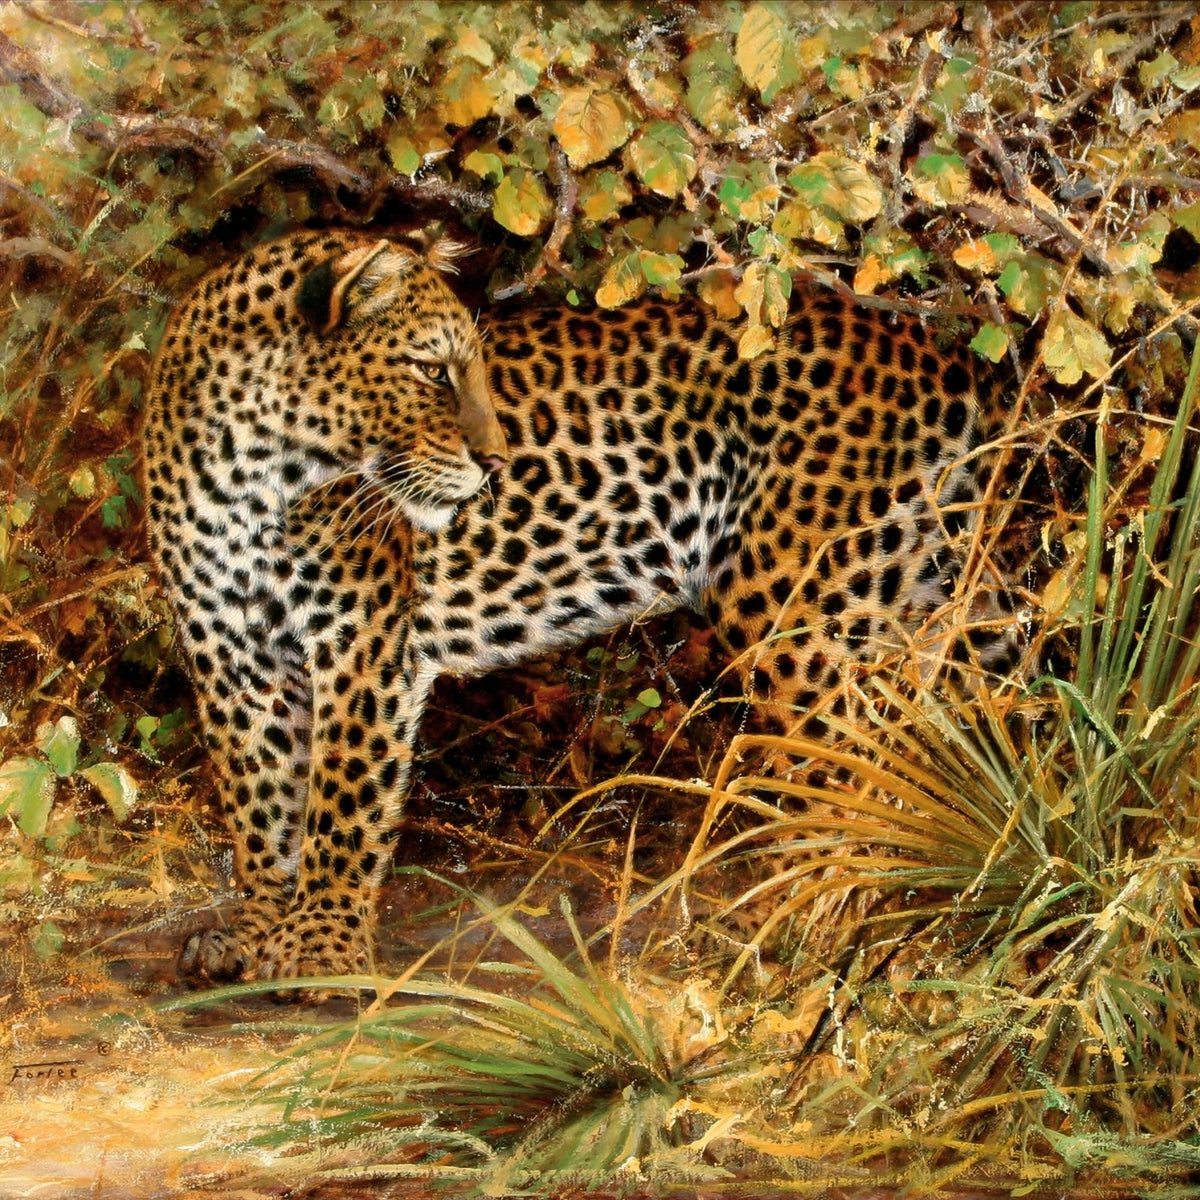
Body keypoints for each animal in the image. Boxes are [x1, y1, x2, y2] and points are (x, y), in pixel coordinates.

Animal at [142, 228, 1012, 990]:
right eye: (433, 372)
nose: (496, 466)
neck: (255, 471)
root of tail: (939, 352)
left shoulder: (362, 646)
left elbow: (342, 803)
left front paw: (319, 951)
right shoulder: (234, 662)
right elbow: (262, 803)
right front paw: (255, 933)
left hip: (799, 599)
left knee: (854, 762)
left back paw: (796, 925)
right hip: (903, 581)